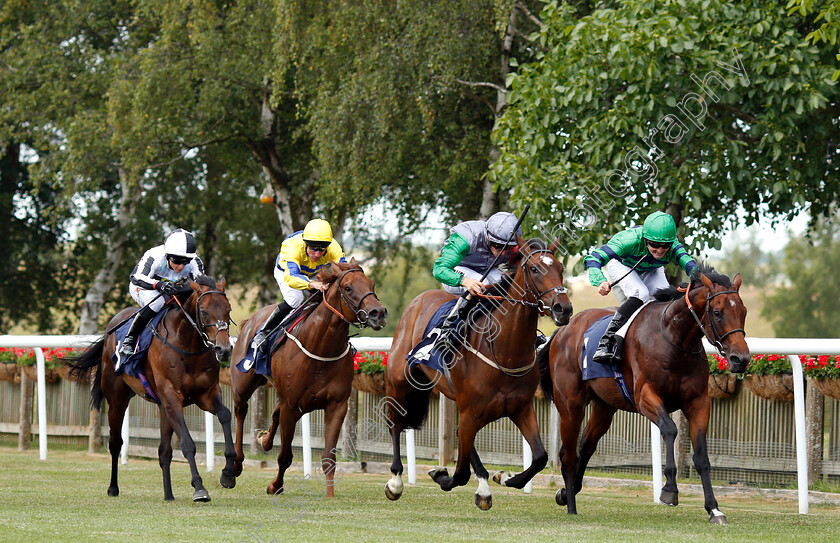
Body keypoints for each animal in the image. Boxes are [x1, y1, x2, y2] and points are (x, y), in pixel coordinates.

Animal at [66, 278, 233, 504]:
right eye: (204, 311)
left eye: (228, 309)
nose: (223, 350)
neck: (187, 344)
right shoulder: (172, 397)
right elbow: (187, 444)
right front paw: (199, 488)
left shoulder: (205, 394)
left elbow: (225, 415)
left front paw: (229, 473)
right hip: (117, 399)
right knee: (115, 443)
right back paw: (113, 487)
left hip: (163, 407)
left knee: (164, 451)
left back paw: (168, 494)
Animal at [230, 260, 388, 498]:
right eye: (348, 287)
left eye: (372, 284)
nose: (378, 313)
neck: (321, 348)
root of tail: (251, 321)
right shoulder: (291, 407)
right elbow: (285, 457)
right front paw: (275, 486)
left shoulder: (337, 405)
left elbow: (329, 458)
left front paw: (330, 496)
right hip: (243, 385)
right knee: (241, 412)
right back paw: (234, 466)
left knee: (273, 413)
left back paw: (264, 440)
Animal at [386, 237, 572, 510]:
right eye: (534, 269)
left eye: (560, 268)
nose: (563, 309)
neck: (504, 351)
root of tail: (419, 299)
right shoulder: (472, 411)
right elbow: (460, 473)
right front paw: (441, 475)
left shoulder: (521, 408)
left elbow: (539, 456)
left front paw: (505, 477)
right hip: (399, 382)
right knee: (396, 423)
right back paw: (396, 481)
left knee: (462, 438)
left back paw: (484, 485)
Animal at [540, 264, 752, 528]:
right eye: (717, 312)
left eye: (743, 311)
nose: (740, 359)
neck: (673, 339)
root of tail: (562, 330)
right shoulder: (645, 397)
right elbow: (670, 429)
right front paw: (669, 489)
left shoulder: (699, 402)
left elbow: (702, 456)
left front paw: (714, 509)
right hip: (570, 404)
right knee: (568, 453)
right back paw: (570, 503)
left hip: (604, 407)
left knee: (586, 446)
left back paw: (566, 492)